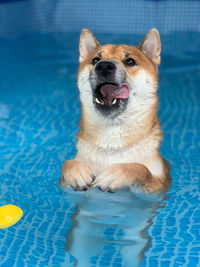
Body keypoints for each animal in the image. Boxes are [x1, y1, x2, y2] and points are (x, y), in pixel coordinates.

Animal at [59, 28, 170, 194]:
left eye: (130, 61)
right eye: (95, 60)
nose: (104, 66)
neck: (111, 145)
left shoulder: (159, 187)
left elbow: (141, 169)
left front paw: (116, 173)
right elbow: (66, 163)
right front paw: (76, 172)